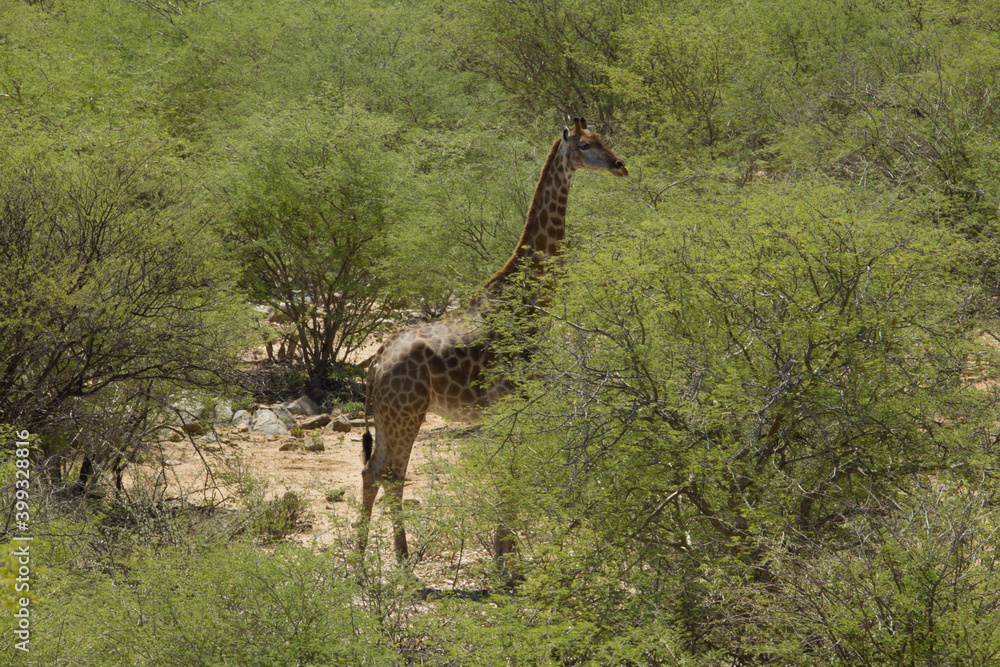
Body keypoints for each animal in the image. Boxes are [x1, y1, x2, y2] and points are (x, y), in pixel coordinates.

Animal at [358, 118, 627, 562]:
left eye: (605, 140)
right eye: (587, 145)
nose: (620, 165)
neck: (532, 302)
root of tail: (376, 363)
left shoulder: (516, 403)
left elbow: (511, 470)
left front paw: (508, 554)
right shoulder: (508, 400)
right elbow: (509, 469)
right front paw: (505, 558)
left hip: (386, 416)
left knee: (372, 472)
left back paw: (362, 563)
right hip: (407, 413)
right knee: (395, 475)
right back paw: (402, 563)